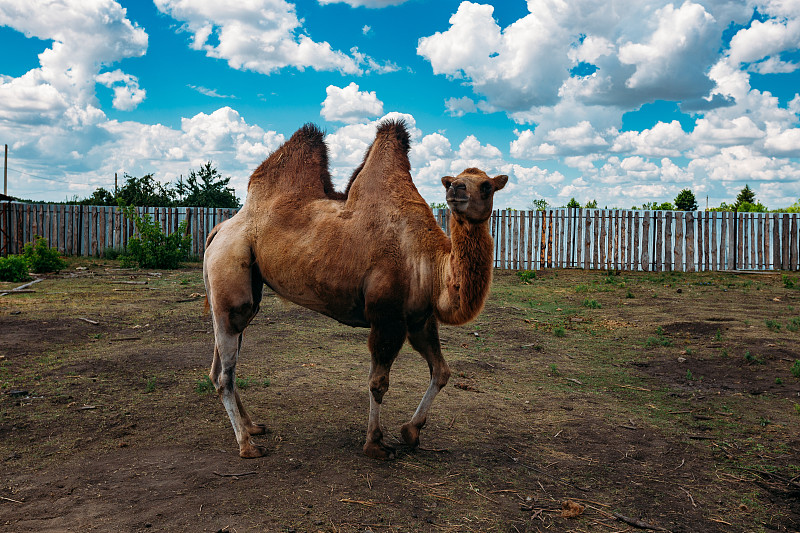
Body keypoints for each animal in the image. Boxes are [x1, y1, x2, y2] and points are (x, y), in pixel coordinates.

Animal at [205, 119, 506, 458]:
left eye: (487, 185)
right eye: (452, 181)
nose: (456, 190)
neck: (430, 264)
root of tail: (221, 227)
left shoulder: (419, 320)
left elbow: (441, 372)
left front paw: (411, 432)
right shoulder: (387, 317)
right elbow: (379, 382)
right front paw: (375, 443)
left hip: (239, 291)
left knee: (221, 365)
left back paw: (253, 426)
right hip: (230, 273)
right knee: (225, 372)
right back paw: (247, 444)